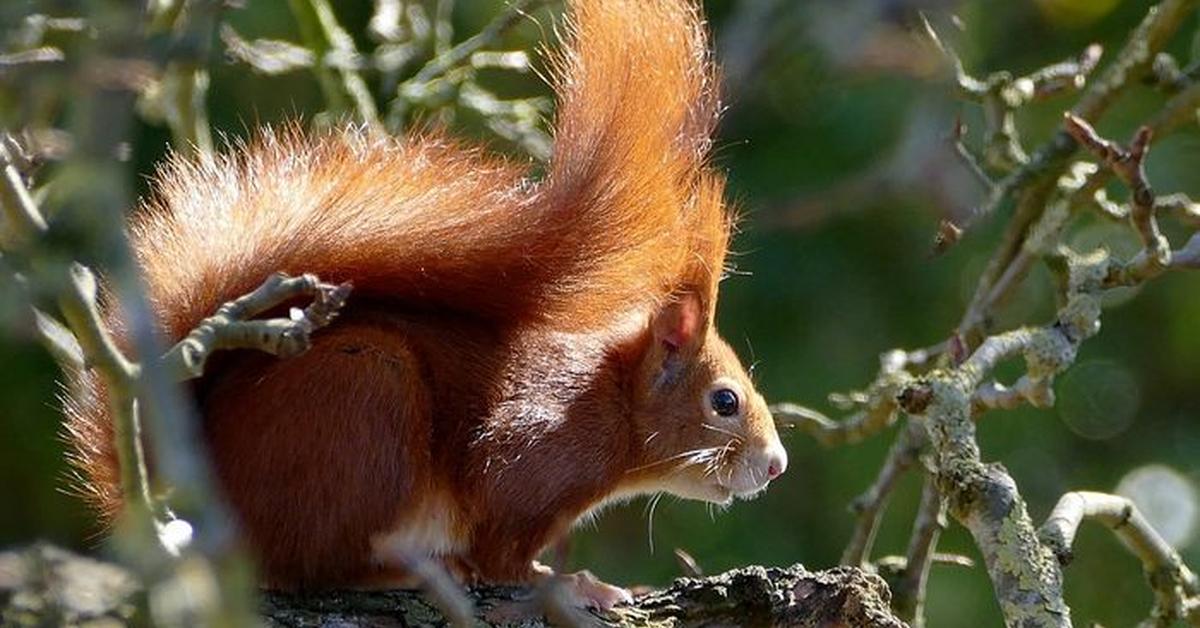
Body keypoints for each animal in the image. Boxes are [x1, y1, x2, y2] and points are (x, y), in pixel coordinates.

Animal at [63, 0, 787, 607]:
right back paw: (402, 572)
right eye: (724, 401)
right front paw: (575, 585)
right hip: (365, 399)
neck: (609, 401)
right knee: (313, 566)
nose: (776, 466)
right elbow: (505, 556)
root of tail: (206, 502)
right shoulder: (529, 454)